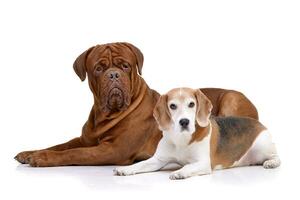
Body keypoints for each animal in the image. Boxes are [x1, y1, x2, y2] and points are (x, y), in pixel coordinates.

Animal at [14, 42, 258, 167]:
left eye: (125, 66)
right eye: (99, 69)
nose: (113, 75)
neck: (104, 116)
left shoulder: (113, 150)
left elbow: (74, 154)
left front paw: (42, 158)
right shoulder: (85, 139)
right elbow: (62, 145)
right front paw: (30, 153)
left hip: (231, 98)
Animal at [113, 87, 280, 180]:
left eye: (191, 104)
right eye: (172, 106)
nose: (184, 121)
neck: (181, 140)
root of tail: (259, 122)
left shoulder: (203, 163)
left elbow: (187, 167)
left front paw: (179, 173)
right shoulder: (157, 160)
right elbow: (139, 165)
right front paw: (125, 169)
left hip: (263, 145)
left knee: (277, 157)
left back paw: (271, 163)